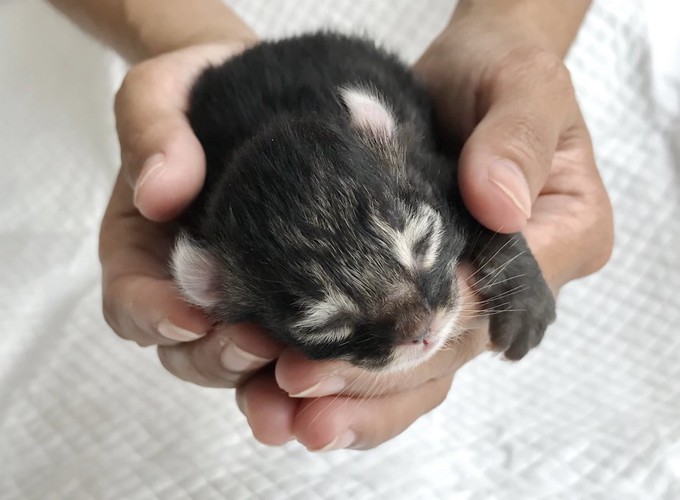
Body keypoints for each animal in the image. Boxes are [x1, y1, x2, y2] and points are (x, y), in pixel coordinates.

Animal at [171, 32, 556, 372]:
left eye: (422, 245)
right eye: (328, 325)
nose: (420, 329)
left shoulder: (433, 168)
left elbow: (486, 212)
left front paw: (525, 299)